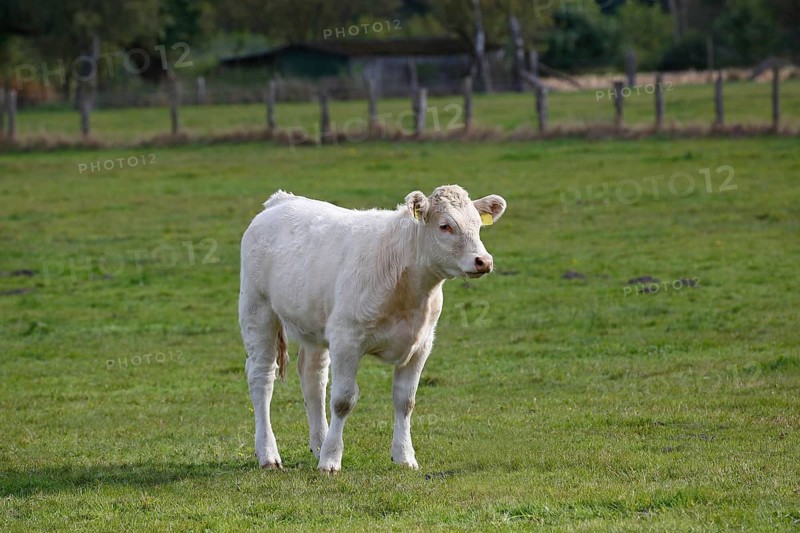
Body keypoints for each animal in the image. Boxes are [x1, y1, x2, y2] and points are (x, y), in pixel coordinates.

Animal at [239, 185, 507, 472]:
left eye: (477, 224)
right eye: (445, 226)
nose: (483, 261)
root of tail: (280, 200)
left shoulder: (421, 344)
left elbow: (405, 401)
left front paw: (404, 456)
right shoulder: (347, 338)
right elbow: (343, 400)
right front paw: (331, 460)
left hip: (314, 323)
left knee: (313, 377)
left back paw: (319, 444)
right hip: (257, 309)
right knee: (262, 378)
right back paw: (269, 454)